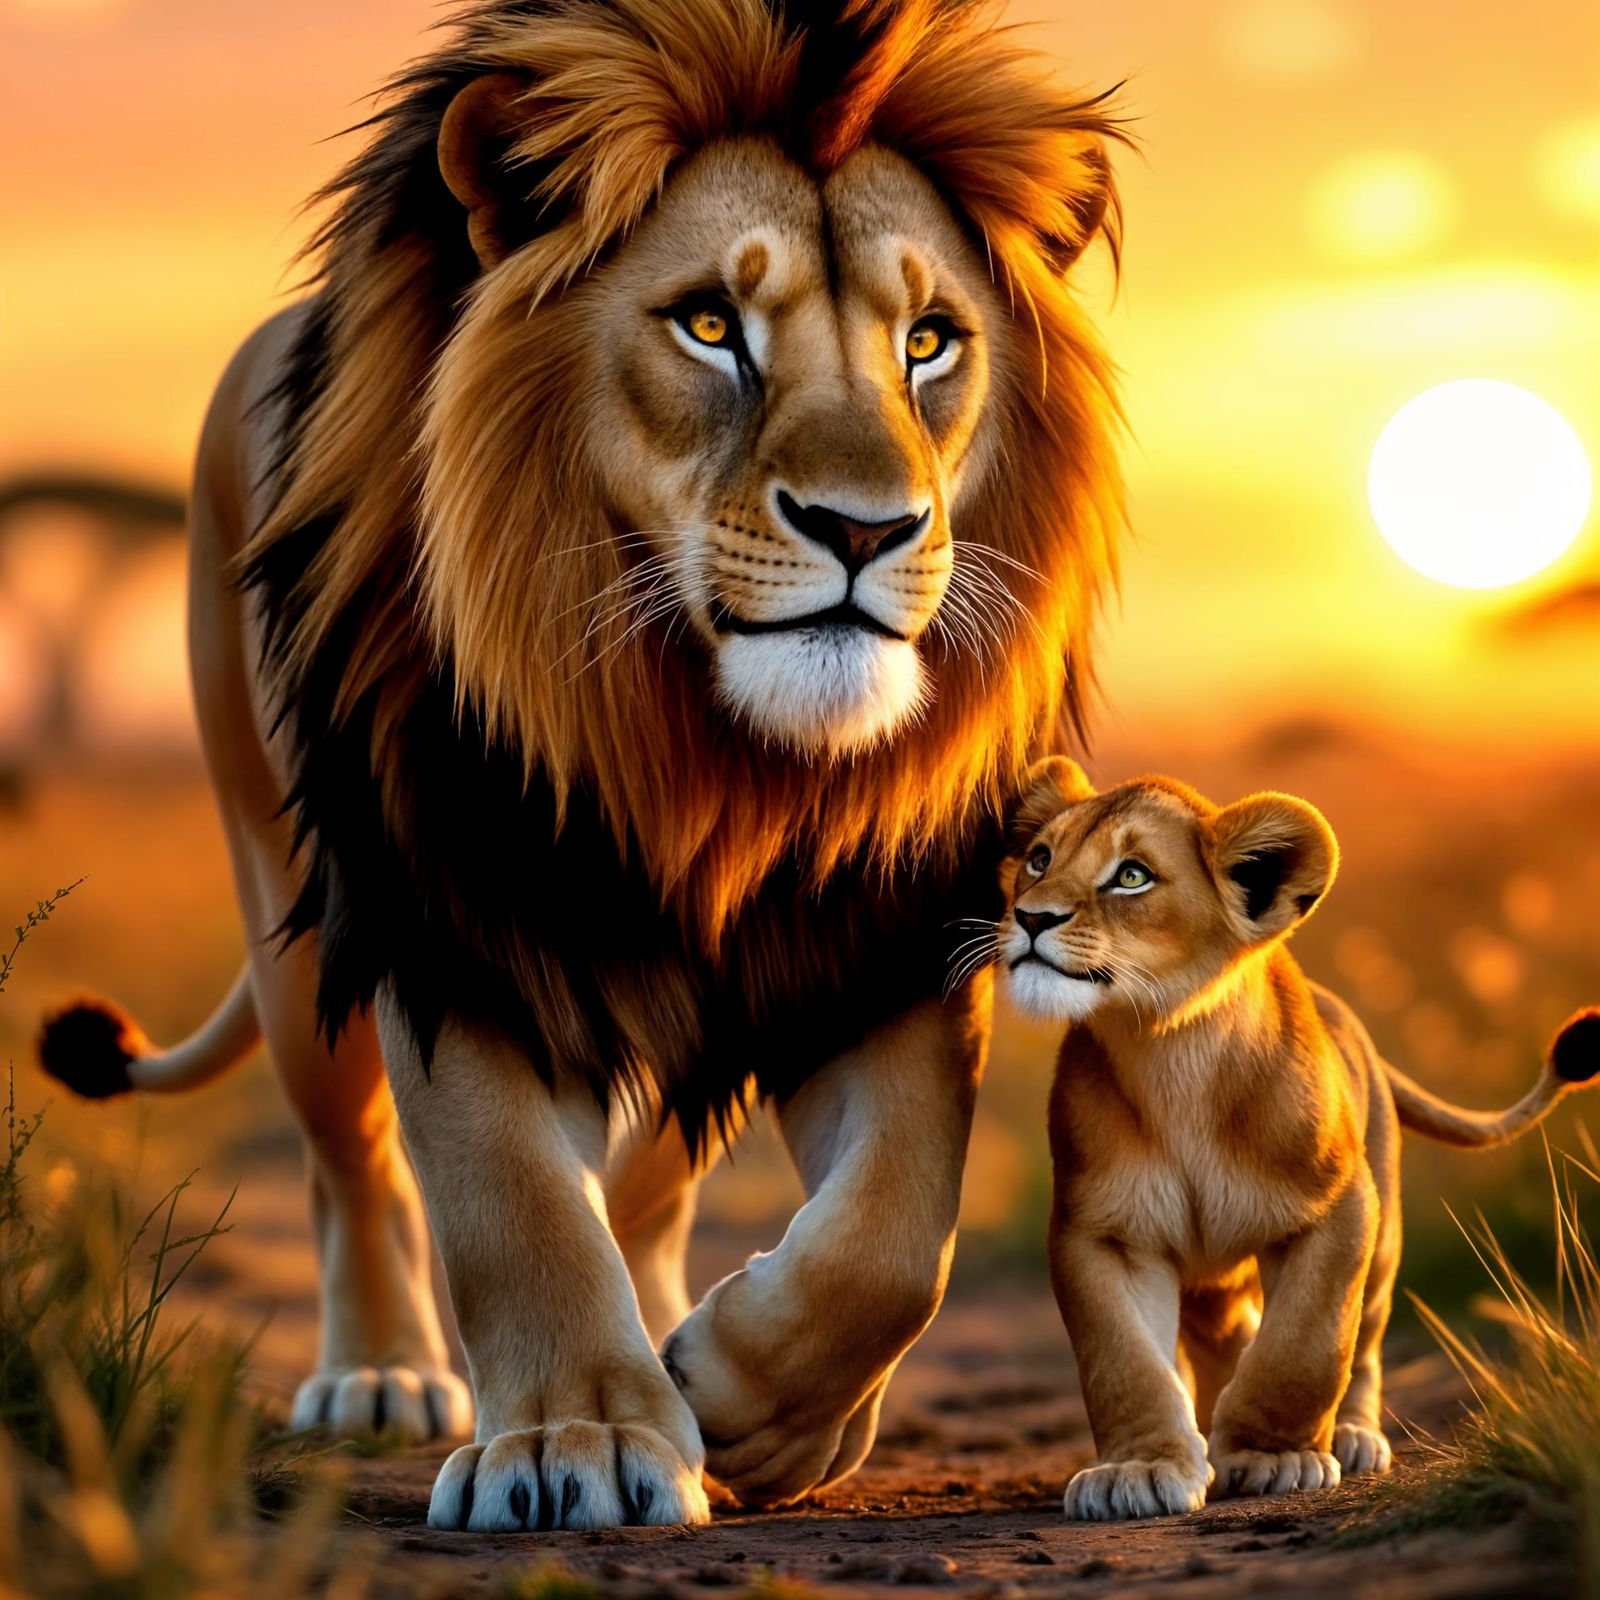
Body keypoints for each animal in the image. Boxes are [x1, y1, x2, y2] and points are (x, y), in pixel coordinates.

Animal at [36, 0, 1127, 1530]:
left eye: (929, 342)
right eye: (711, 324)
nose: (866, 530)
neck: (708, 766)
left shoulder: (875, 941)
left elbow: (897, 1231)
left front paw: (747, 1401)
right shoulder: (449, 918)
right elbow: (513, 1202)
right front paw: (580, 1438)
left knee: (656, 1186)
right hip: (293, 917)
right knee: (347, 1163)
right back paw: (381, 1375)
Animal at [992, 757, 1599, 1521]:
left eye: (1131, 876)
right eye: (1040, 859)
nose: (1030, 916)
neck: (1169, 1049)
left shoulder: (1338, 1211)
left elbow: (1305, 1345)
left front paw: (1271, 1456)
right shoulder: (1104, 1231)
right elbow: (1124, 1361)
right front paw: (1142, 1468)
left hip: (1385, 1237)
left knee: (1362, 1345)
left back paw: (1351, 1437)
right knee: (1225, 1335)